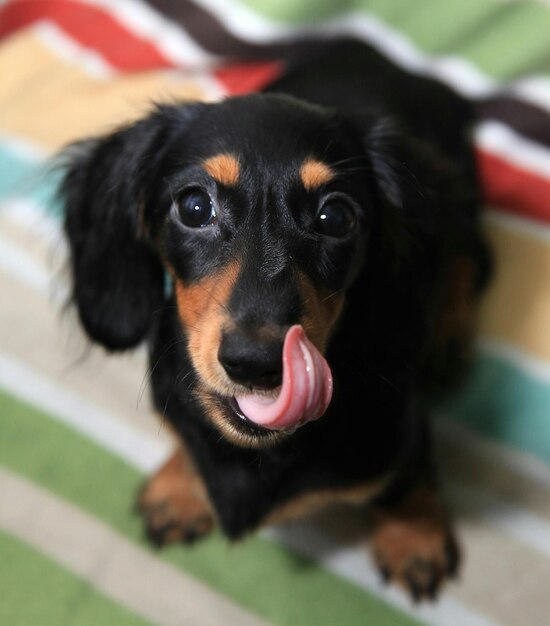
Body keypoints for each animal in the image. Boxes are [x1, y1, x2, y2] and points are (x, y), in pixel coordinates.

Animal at [58, 40, 494, 600]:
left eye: (336, 217)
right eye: (193, 206)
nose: (255, 363)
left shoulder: (398, 430)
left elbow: (405, 481)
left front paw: (414, 540)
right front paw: (179, 488)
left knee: (473, 259)